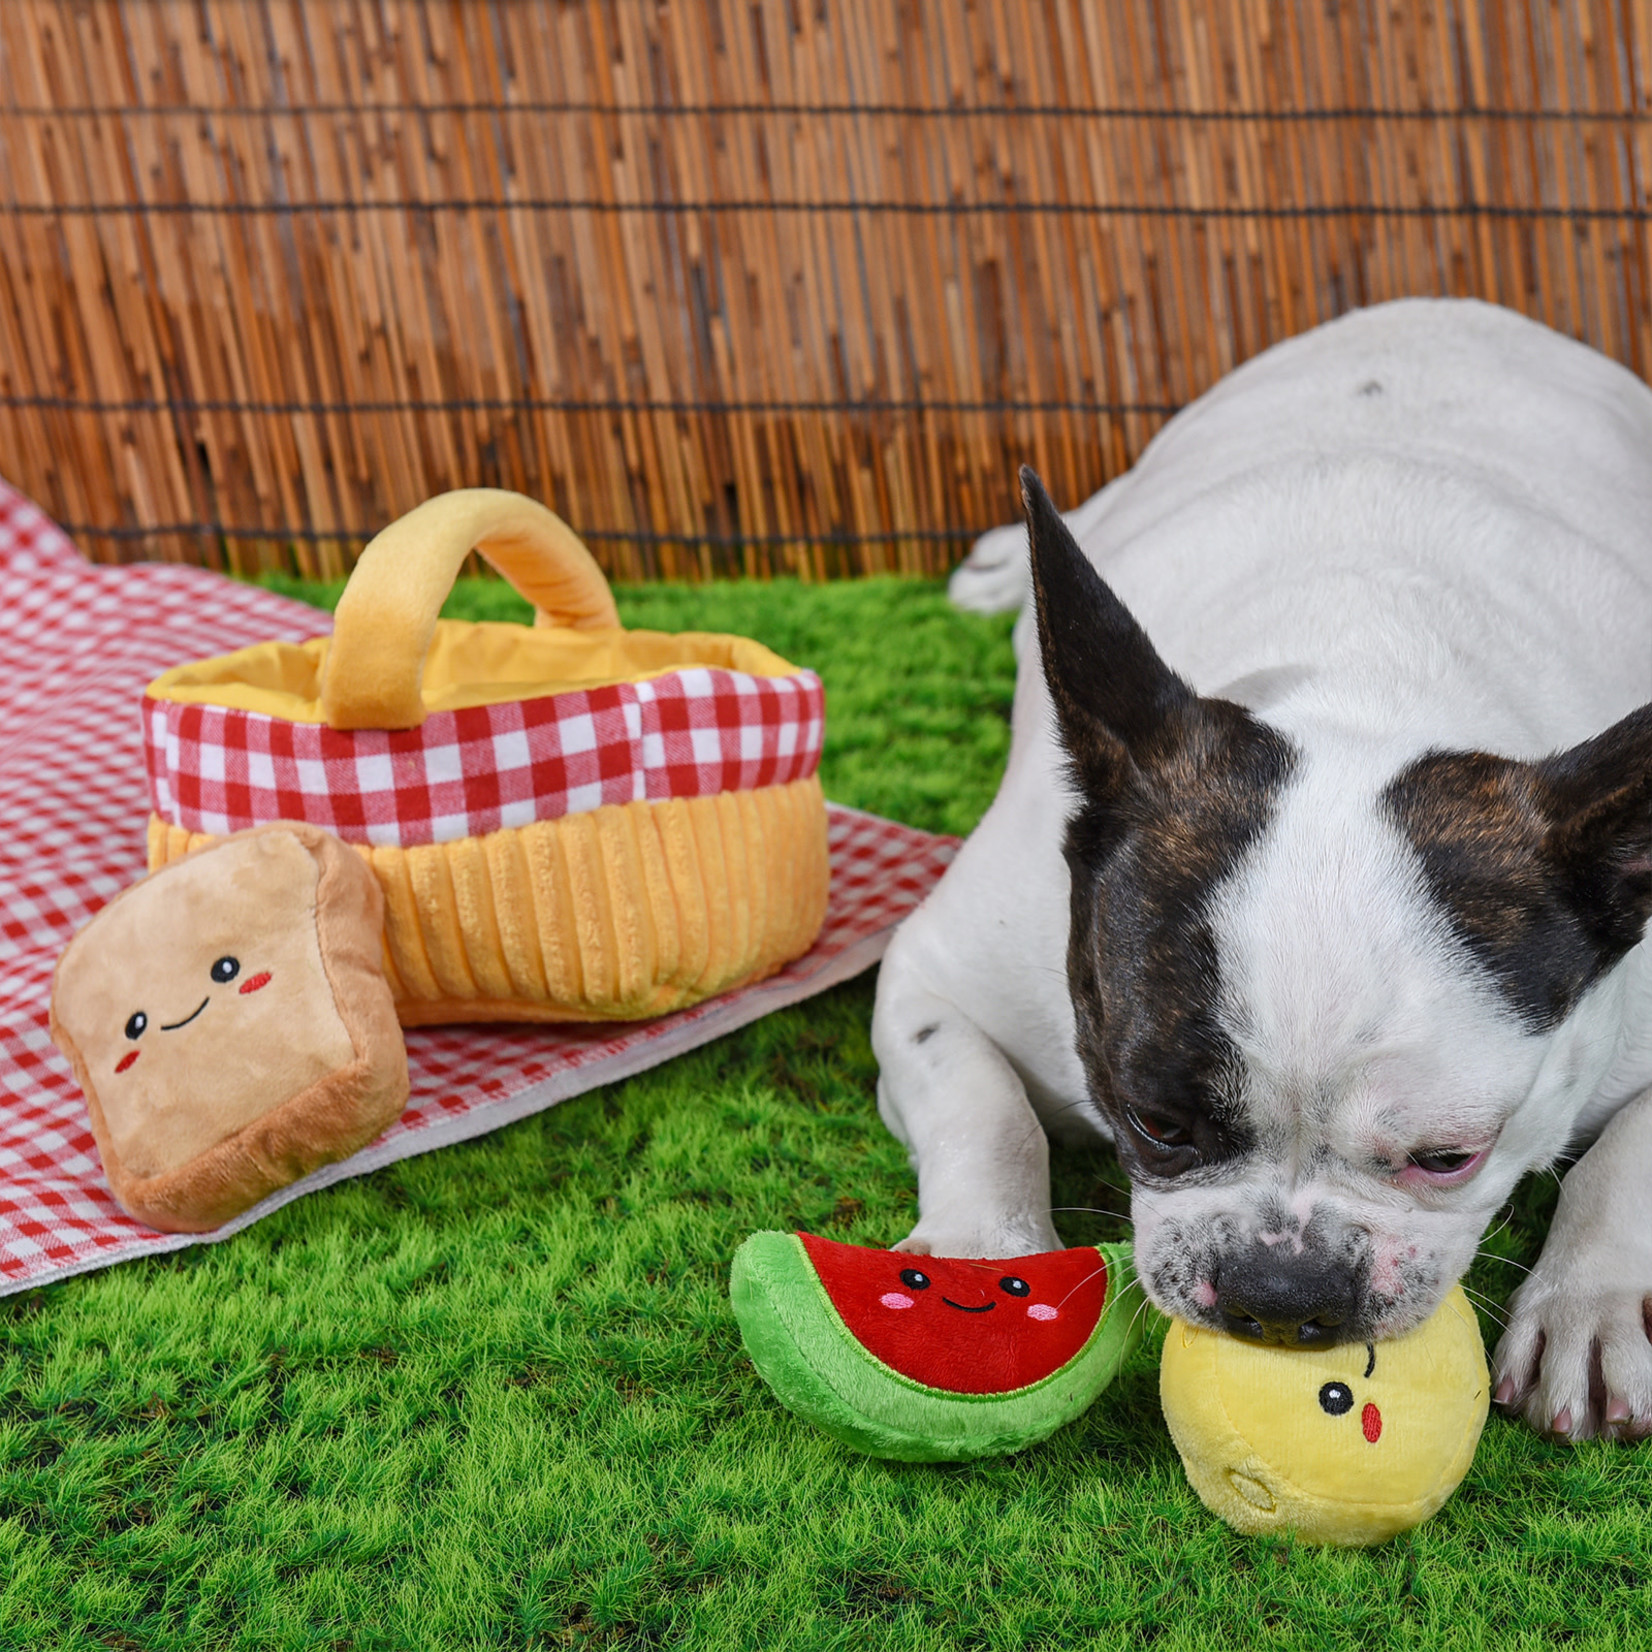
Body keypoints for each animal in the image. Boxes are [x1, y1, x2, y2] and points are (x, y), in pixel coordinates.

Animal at [865, 303, 1652, 1440]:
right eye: (1152, 1123)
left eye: (1448, 1157)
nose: (1281, 1288)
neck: (1365, 673)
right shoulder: (936, 977)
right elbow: (980, 1104)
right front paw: (982, 1255)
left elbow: (1628, 1152)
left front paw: (1589, 1299)